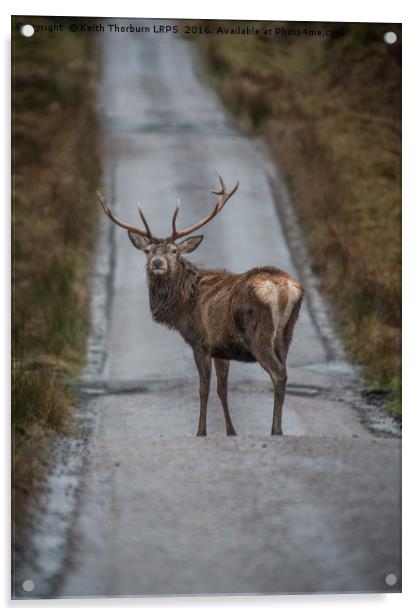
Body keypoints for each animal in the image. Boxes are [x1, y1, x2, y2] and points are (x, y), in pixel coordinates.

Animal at [97, 171, 304, 436]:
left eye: (174, 250)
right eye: (148, 250)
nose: (157, 263)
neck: (183, 305)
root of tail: (284, 288)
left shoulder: (200, 341)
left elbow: (203, 389)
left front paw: (201, 431)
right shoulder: (222, 347)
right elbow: (222, 390)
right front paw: (231, 432)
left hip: (259, 335)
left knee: (278, 375)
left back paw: (276, 430)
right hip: (286, 335)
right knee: (285, 372)